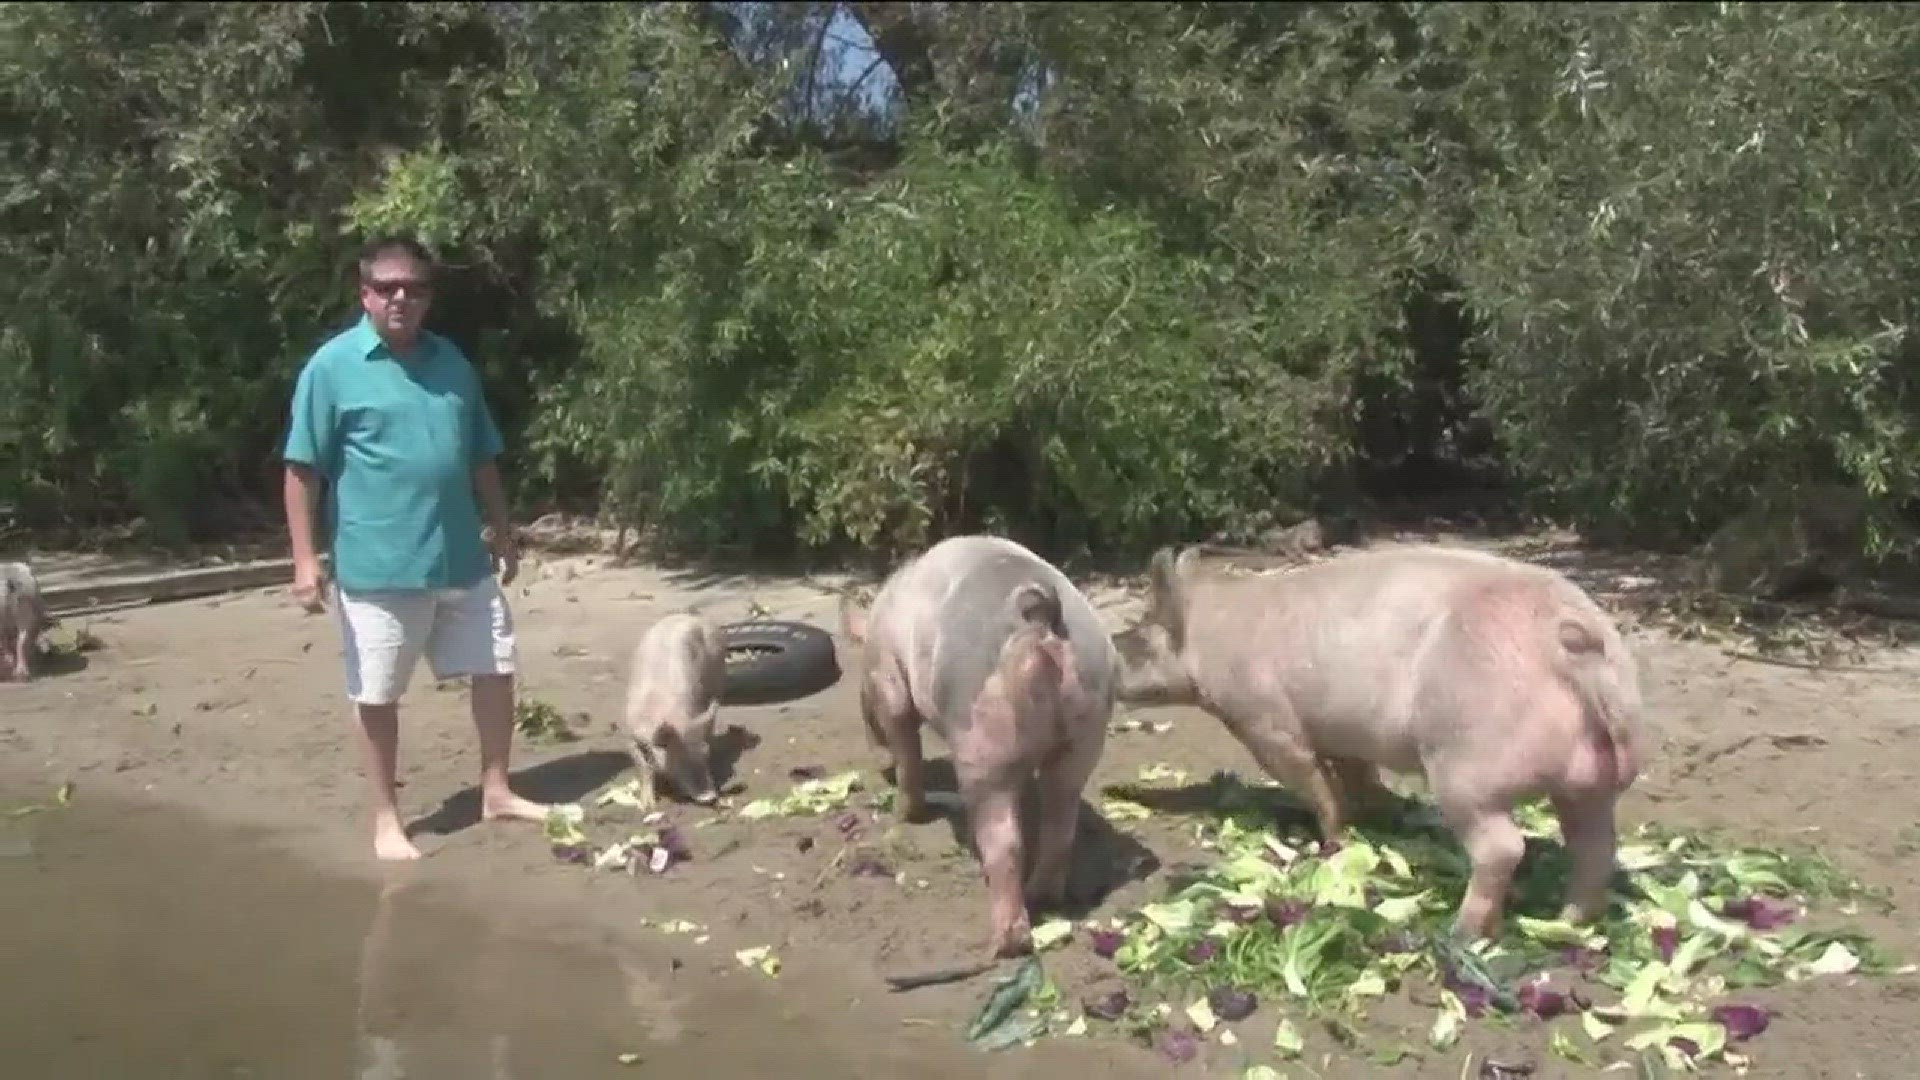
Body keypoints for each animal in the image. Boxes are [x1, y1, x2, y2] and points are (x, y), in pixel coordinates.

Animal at [622, 607, 725, 799]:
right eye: (677, 757)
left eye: (705, 753)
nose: (710, 796)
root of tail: (691, 617)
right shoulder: (631, 735)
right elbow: (643, 768)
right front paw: (648, 803)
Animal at [844, 534, 1121, 953]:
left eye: (863, 701)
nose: (879, 768)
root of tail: (1044, 613)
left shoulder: (890, 681)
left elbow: (906, 746)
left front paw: (904, 813)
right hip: (1086, 724)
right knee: (1060, 819)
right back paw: (1044, 899)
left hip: (982, 736)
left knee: (1004, 840)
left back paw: (1005, 943)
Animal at [1113, 541, 1651, 937]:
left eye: (1138, 639)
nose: (1111, 647)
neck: (1210, 637)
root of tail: (1572, 641)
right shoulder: (1344, 734)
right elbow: (1356, 776)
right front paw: (1378, 818)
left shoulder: (1263, 721)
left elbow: (1312, 780)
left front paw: (1332, 841)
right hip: (1589, 781)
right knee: (1595, 845)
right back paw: (1569, 922)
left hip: (1466, 765)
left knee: (1503, 847)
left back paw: (1462, 933)